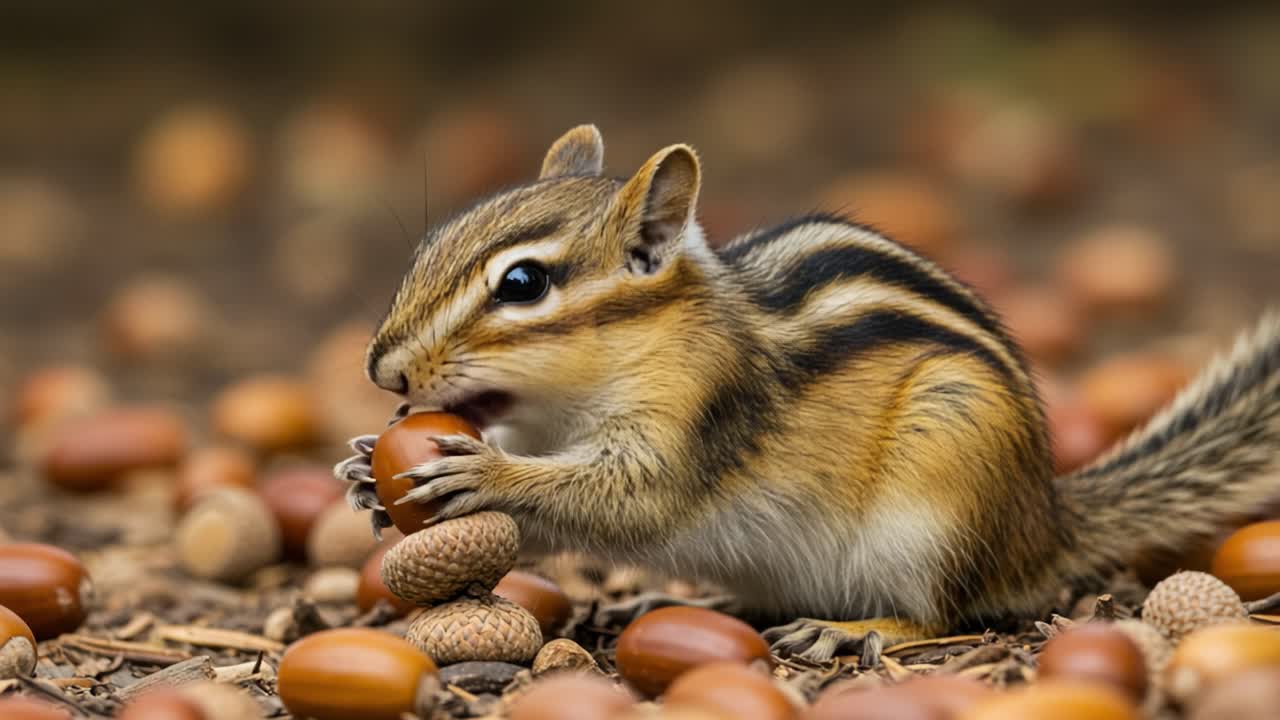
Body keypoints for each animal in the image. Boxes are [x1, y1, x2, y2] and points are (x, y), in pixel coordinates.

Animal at [336, 124, 1280, 662]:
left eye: (523, 283)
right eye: (429, 244)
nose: (382, 371)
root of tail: (1045, 521)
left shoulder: (694, 420)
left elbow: (627, 499)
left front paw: (483, 475)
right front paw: (365, 474)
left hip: (941, 493)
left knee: (953, 614)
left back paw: (857, 630)